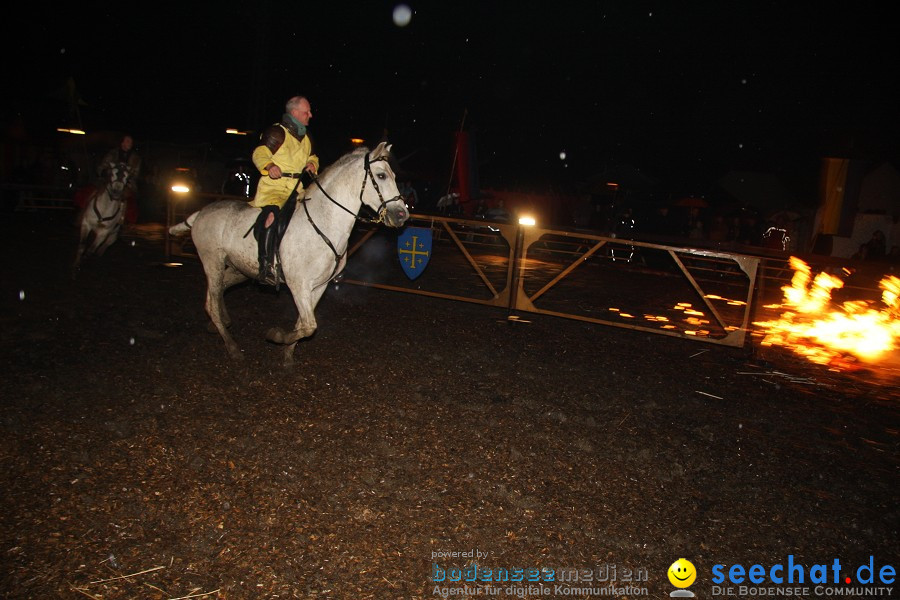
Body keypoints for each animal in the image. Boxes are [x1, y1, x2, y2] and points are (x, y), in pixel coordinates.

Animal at [167, 142, 410, 364]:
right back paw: (232, 346)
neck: (323, 222)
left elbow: (303, 324)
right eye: (381, 176)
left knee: (214, 298)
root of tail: (200, 214)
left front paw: (287, 355)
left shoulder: (318, 286)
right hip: (213, 263)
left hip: (239, 269)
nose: (402, 215)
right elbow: (309, 325)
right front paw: (276, 336)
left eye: (393, 175)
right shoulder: (298, 284)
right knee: (213, 302)